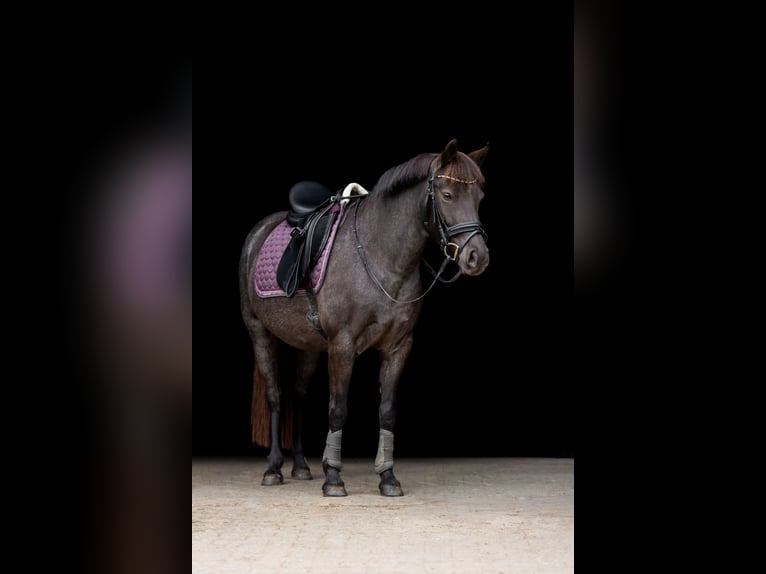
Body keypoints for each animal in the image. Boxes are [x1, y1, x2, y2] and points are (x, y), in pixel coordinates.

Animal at [240, 141, 492, 500]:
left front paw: (387, 477)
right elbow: (338, 409)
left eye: (479, 198)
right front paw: (334, 478)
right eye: (447, 195)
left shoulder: (398, 347)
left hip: (308, 346)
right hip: (260, 334)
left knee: (299, 396)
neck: (380, 255)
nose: (477, 256)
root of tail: (260, 232)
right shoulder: (342, 346)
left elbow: (387, 410)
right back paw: (273, 468)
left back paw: (301, 466)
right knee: (276, 396)